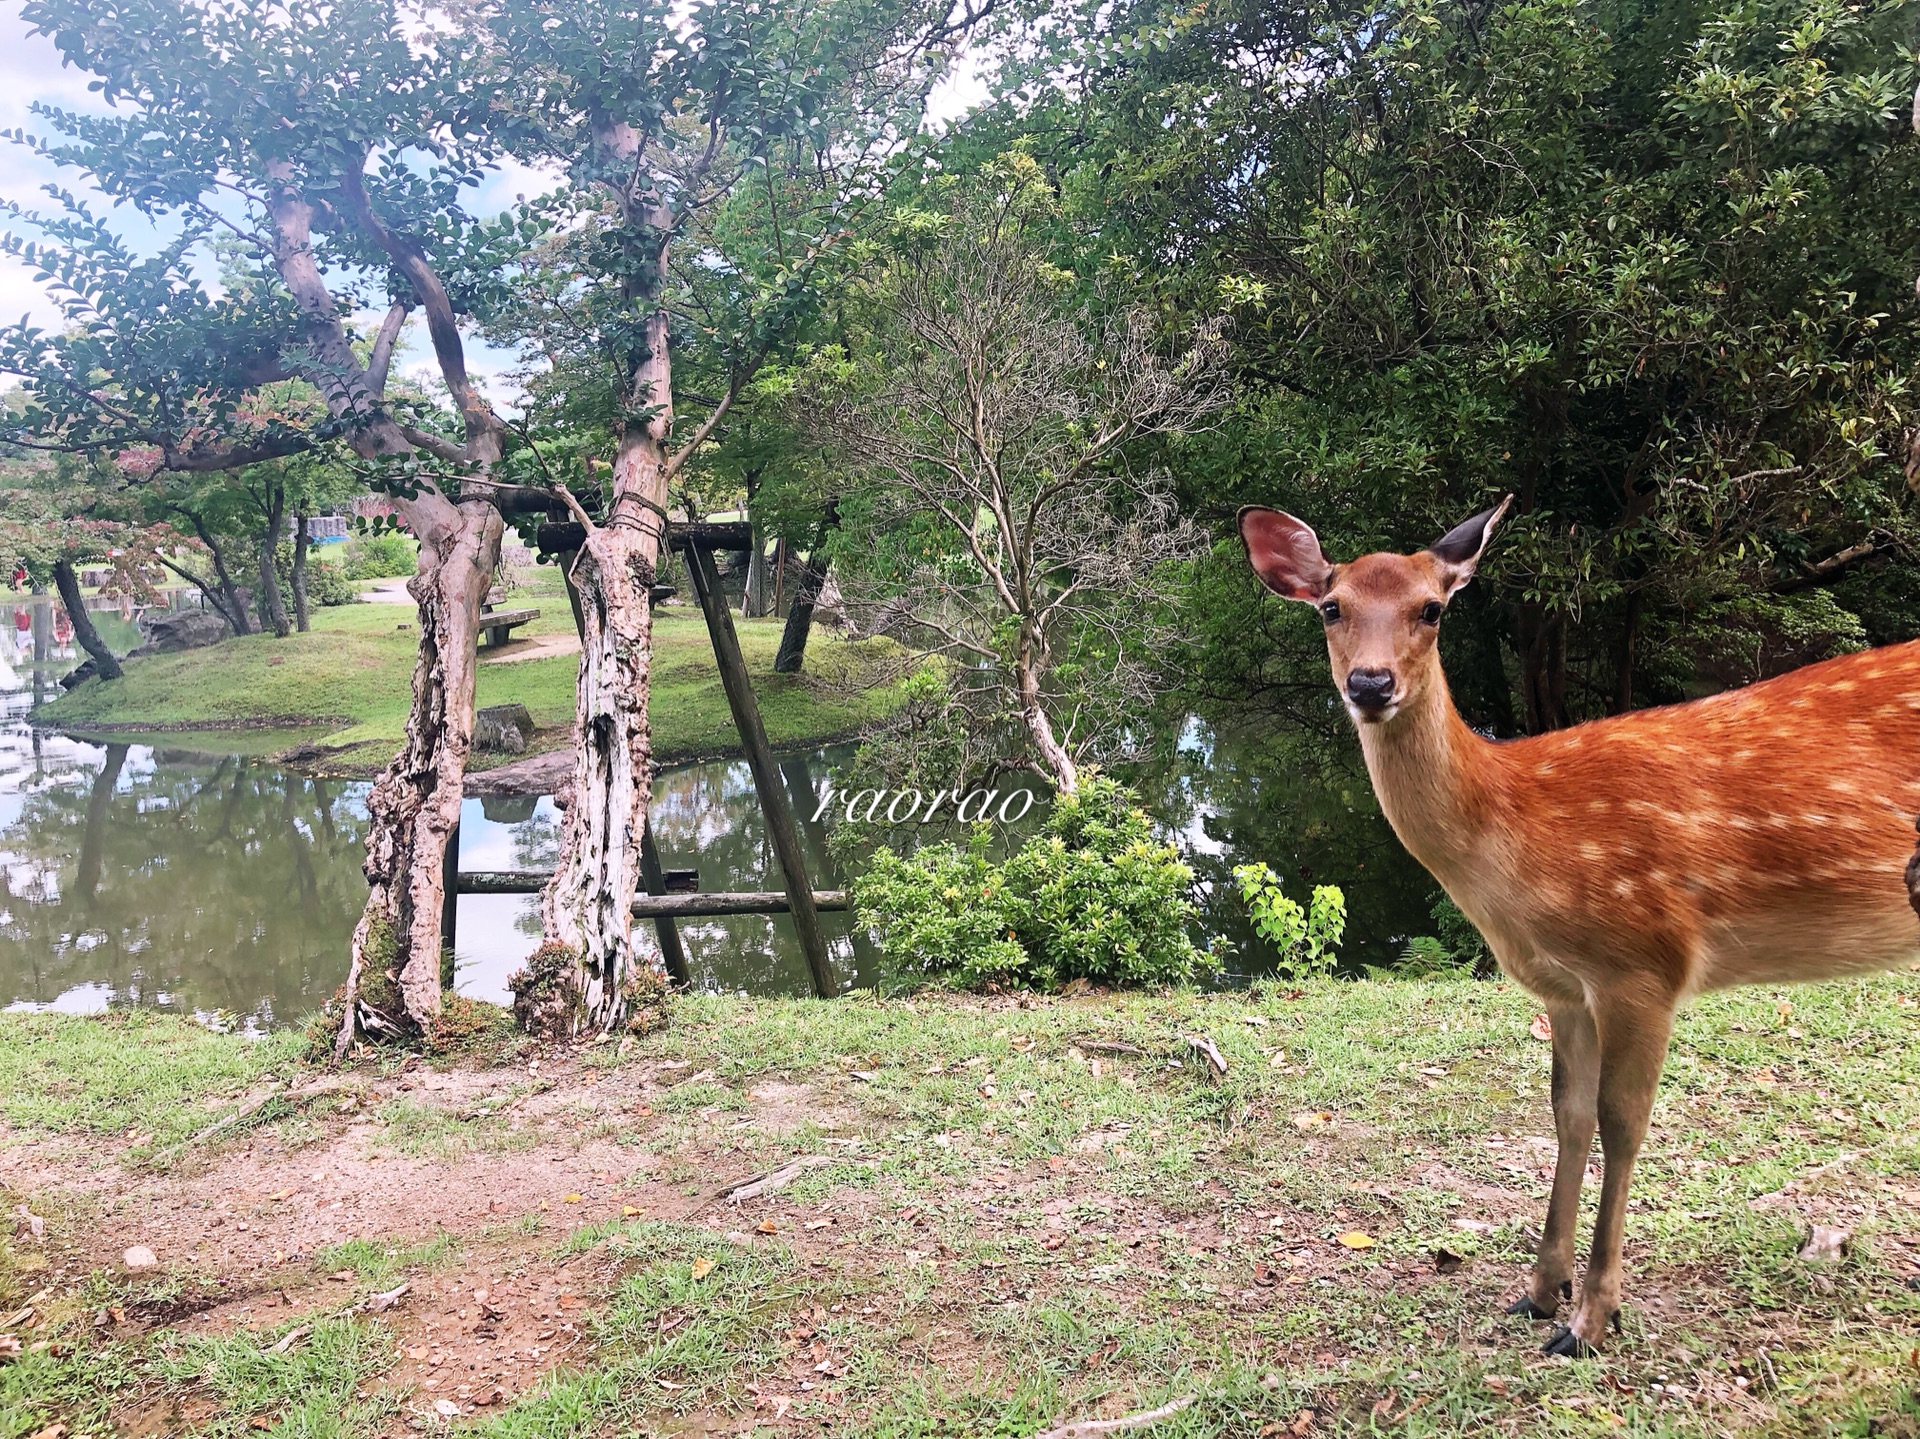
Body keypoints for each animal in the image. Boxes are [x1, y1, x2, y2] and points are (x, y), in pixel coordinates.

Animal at [1236, 495, 1920, 1360]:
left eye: (1432, 608)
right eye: (1332, 607)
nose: (1369, 681)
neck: (1520, 839)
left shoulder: (1646, 961)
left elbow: (1624, 1124)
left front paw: (1593, 1318)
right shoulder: (1563, 987)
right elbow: (1567, 1114)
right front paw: (1538, 1291)